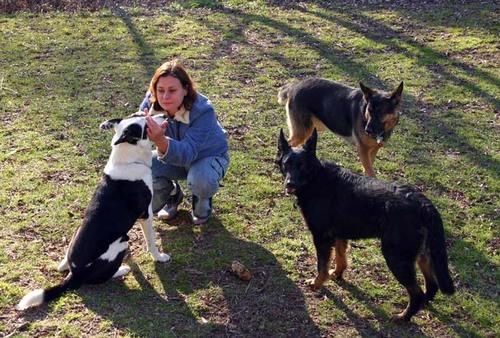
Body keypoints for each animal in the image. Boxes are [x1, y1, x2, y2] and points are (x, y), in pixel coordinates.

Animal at [17, 113, 171, 308]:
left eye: (143, 115)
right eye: (146, 125)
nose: (164, 115)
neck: (128, 159)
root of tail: (75, 276)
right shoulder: (146, 215)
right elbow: (151, 242)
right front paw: (159, 257)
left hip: (79, 229)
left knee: (66, 262)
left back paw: (63, 264)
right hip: (121, 243)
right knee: (102, 277)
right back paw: (122, 269)